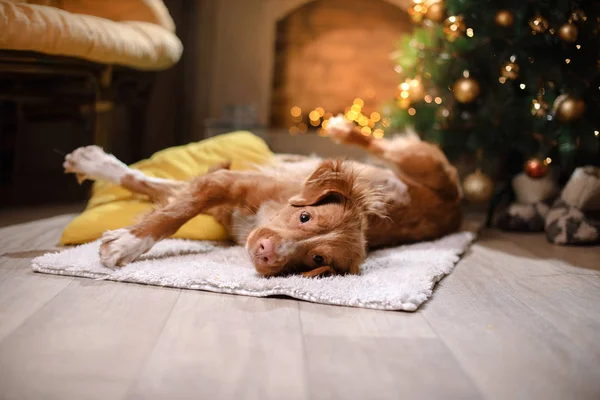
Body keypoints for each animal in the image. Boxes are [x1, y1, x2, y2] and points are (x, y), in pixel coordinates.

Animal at [62, 116, 464, 278]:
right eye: (305, 217)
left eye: (316, 258)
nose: (266, 252)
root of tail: (457, 209)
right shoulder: (224, 183)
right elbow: (167, 206)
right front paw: (127, 241)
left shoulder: (221, 198)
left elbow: (162, 192)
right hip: (420, 162)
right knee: (380, 144)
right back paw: (342, 128)